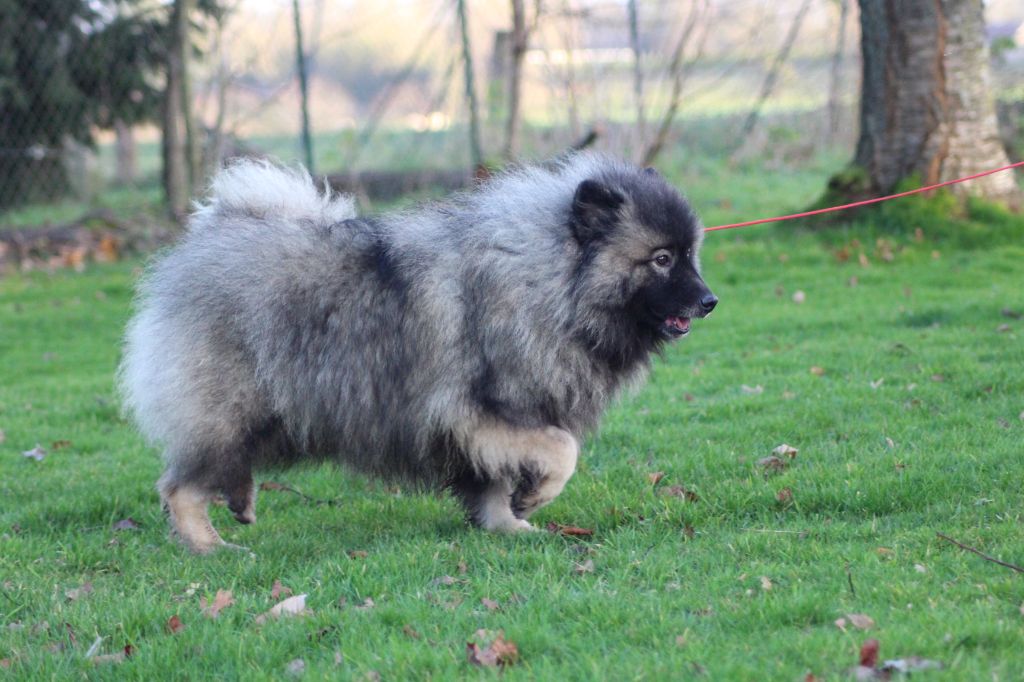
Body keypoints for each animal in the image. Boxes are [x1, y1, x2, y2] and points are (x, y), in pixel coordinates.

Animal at [119, 151, 716, 548]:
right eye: (661, 260)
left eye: (691, 254)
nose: (709, 301)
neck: (549, 280)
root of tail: (208, 238)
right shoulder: (482, 411)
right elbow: (562, 450)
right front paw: (533, 499)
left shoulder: (484, 425)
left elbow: (494, 482)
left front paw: (509, 526)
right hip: (231, 410)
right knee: (180, 486)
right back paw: (211, 545)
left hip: (272, 416)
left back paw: (240, 504)